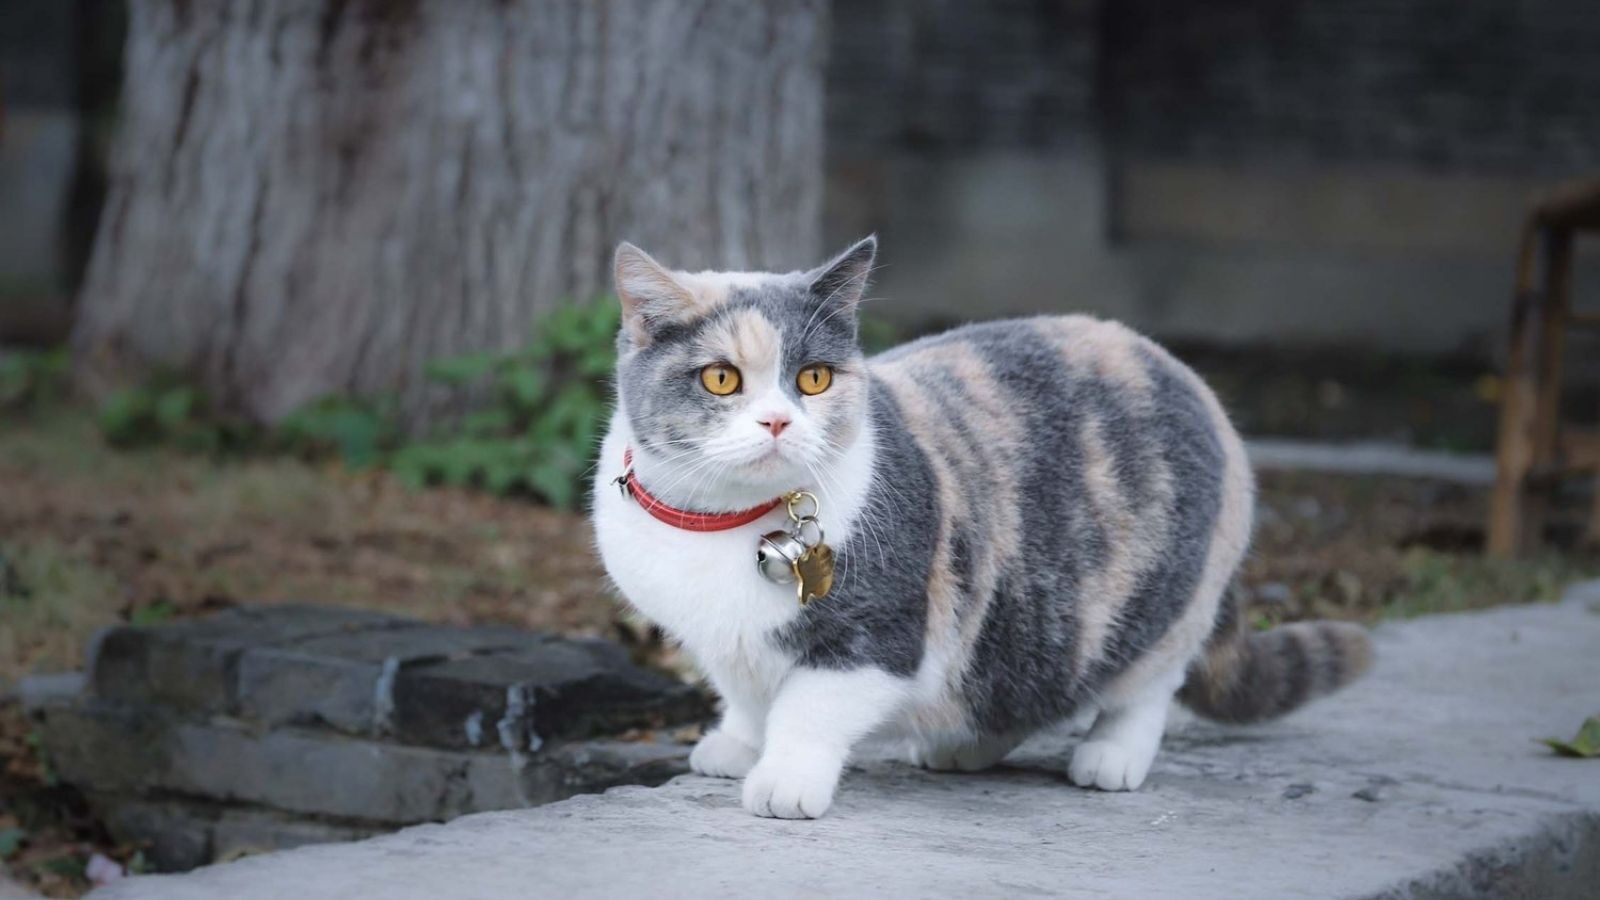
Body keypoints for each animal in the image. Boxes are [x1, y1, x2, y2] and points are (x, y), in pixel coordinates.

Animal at [595, 235, 1369, 816]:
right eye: (721, 379)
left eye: (813, 378)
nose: (778, 420)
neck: (724, 522)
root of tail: (1185, 373)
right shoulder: (720, 643)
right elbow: (746, 695)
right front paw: (734, 744)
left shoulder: (881, 634)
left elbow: (807, 708)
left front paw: (784, 779)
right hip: (1026, 618)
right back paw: (962, 745)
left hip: (1161, 604)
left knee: (1147, 683)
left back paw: (1110, 755)